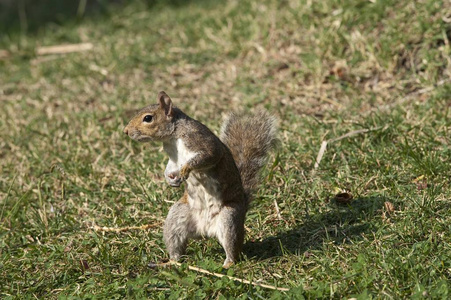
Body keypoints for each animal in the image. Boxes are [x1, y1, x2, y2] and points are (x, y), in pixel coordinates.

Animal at [124, 91, 278, 268]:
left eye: (148, 118)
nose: (126, 131)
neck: (173, 137)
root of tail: (206, 230)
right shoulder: (173, 159)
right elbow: (171, 168)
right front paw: (170, 179)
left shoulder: (200, 140)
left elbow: (209, 155)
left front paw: (186, 169)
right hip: (176, 218)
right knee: (176, 246)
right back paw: (169, 262)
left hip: (229, 218)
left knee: (233, 248)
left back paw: (226, 265)